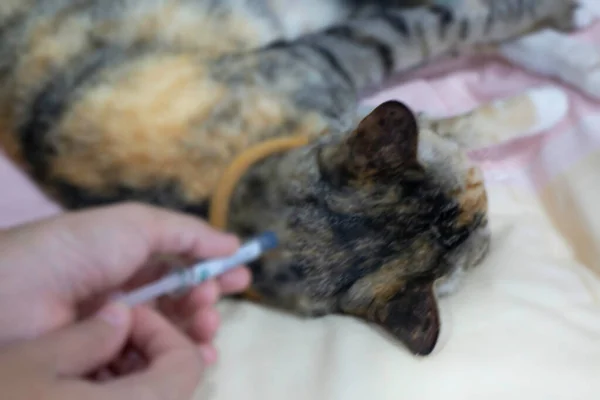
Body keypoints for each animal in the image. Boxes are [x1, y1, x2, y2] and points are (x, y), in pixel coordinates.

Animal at [0, 0, 584, 356]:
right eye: (481, 230)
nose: (486, 221)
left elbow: (448, 28)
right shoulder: (341, 58)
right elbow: (441, 41)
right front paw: (544, 105)